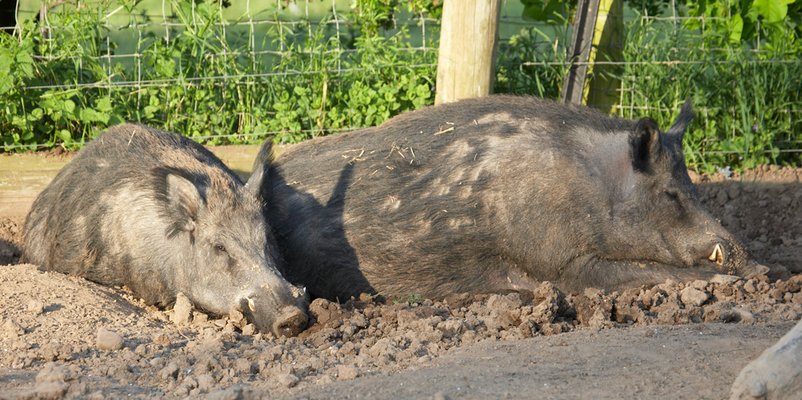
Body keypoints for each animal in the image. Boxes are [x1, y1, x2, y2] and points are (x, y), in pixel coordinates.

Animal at [257, 95, 756, 301]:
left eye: (692, 184)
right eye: (670, 192)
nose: (738, 250)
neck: (589, 188)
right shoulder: (560, 260)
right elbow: (646, 272)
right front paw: (743, 280)